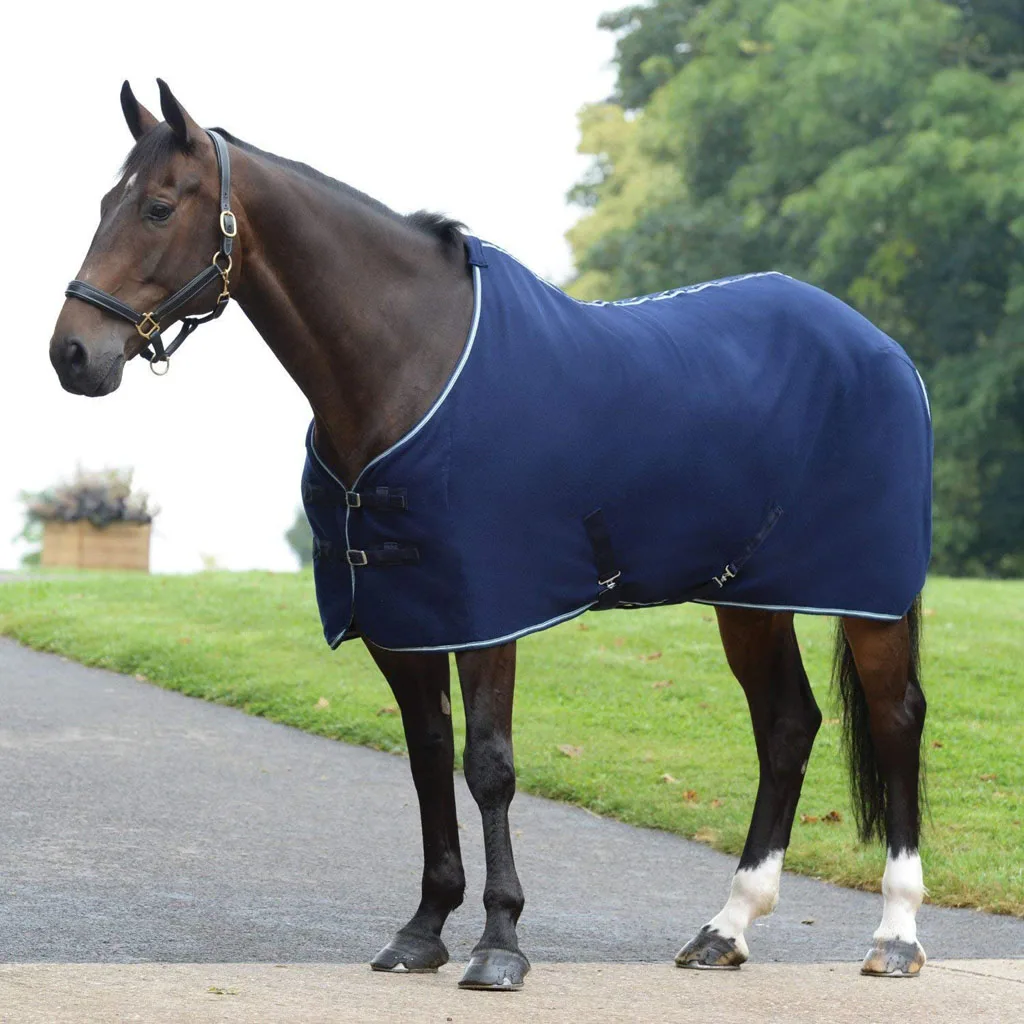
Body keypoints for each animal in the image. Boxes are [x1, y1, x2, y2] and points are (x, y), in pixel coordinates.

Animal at [49, 81, 932, 990]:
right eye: (106, 202)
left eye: (157, 207)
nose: (73, 353)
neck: (412, 363)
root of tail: (879, 344)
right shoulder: (401, 618)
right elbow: (428, 758)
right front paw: (423, 929)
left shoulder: (488, 614)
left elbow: (490, 767)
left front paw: (499, 942)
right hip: (748, 597)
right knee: (787, 725)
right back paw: (728, 926)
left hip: (866, 596)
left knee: (896, 717)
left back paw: (895, 934)